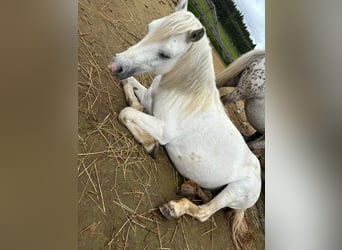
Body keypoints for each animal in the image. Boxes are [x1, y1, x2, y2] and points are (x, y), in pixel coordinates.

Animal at [108, 1, 260, 248]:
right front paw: (134, 100)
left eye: (165, 54)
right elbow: (129, 85)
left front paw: (150, 144)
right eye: (150, 28)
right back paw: (190, 188)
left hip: (236, 190)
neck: (184, 94)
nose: (116, 65)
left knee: (205, 212)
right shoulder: (148, 98)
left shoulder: (163, 129)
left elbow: (126, 112)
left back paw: (174, 208)